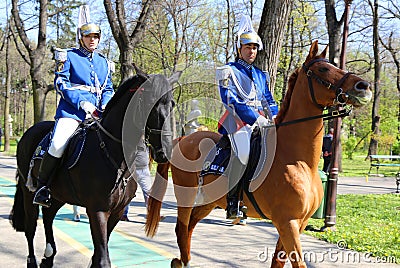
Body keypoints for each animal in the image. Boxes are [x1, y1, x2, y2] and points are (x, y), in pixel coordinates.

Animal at [9, 71, 180, 268]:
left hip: (59, 195)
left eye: (172, 104)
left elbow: (98, 255)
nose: (165, 152)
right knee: (30, 228)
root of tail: (29, 132)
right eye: (148, 101)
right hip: (29, 192)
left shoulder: (117, 211)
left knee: (48, 217)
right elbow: (103, 259)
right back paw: (34, 260)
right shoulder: (97, 210)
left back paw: (49, 256)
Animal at [145, 40, 372, 266]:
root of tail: (183, 139)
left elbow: (279, 260)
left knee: (190, 226)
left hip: (210, 200)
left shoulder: (296, 223)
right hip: (186, 195)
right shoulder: (287, 222)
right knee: (181, 228)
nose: (364, 86)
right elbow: (298, 262)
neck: (300, 163)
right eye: (323, 69)